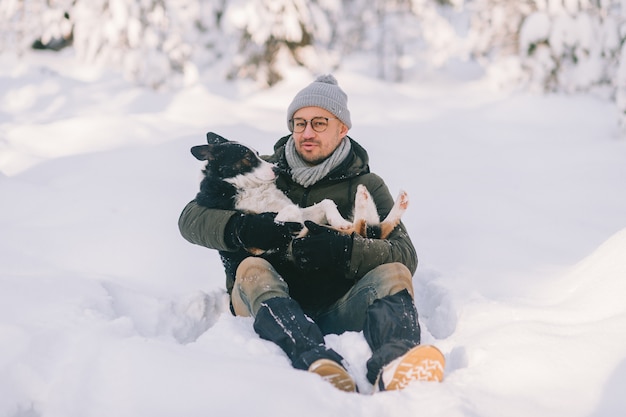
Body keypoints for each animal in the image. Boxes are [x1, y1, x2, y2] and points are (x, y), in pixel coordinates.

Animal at [189, 132, 404, 250]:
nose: (277, 169)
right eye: (248, 158)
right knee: (365, 229)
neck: (247, 188)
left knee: (367, 228)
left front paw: (339, 221)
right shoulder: (258, 244)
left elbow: (326, 203)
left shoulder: (306, 216)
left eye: (258, 154)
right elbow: (282, 216)